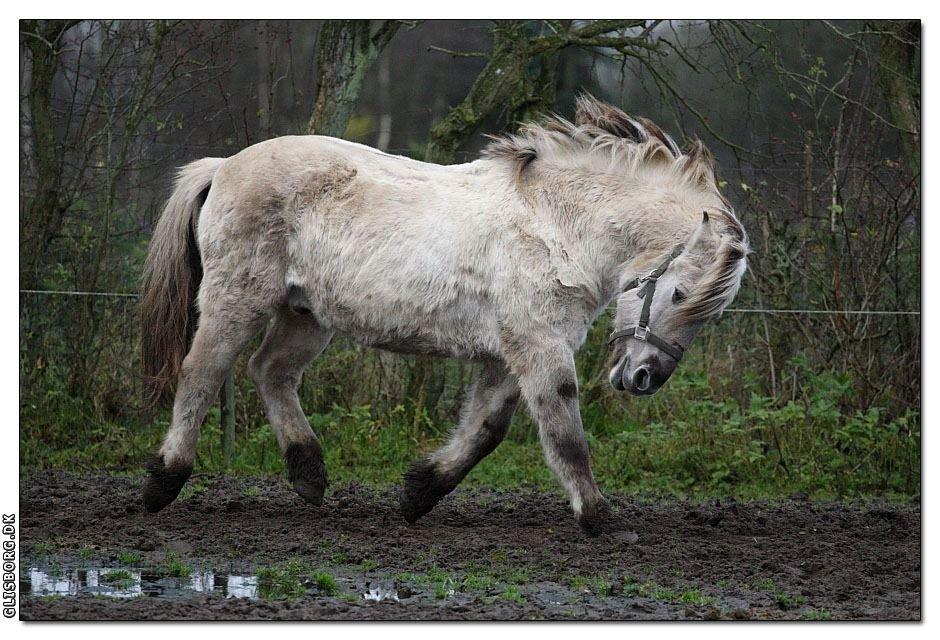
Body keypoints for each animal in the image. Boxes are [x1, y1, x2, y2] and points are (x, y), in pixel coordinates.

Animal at [140, 95, 744, 536]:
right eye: (679, 294)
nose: (645, 377)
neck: (556, 224)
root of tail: (224, 167)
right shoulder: (540, 347)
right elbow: (565, 435)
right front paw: (600, 519)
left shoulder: (508, 355)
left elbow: (485, 432)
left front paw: (418, 494)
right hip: (236, 300)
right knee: (202, 374)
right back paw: (163, 482)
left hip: (307, 314)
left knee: (270, 372)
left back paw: (309, 475)